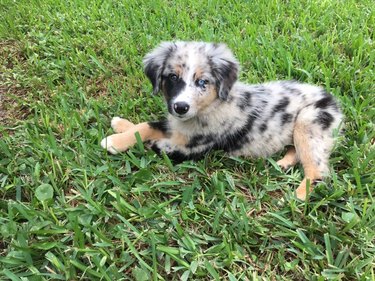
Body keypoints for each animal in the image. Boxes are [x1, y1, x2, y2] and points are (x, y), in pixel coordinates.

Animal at [101, 41, 346, 199]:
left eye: (202, 82)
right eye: (172, 77)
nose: (181, 107)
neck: (208, 108)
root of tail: (332, 99)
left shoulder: (189, 148)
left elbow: (154, 142)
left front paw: (115, 141)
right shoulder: (175, 124)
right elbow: (147, 125)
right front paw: (120, 128)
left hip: (308, 121)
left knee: (318, 170)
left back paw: (298, 196)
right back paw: (284, 162)